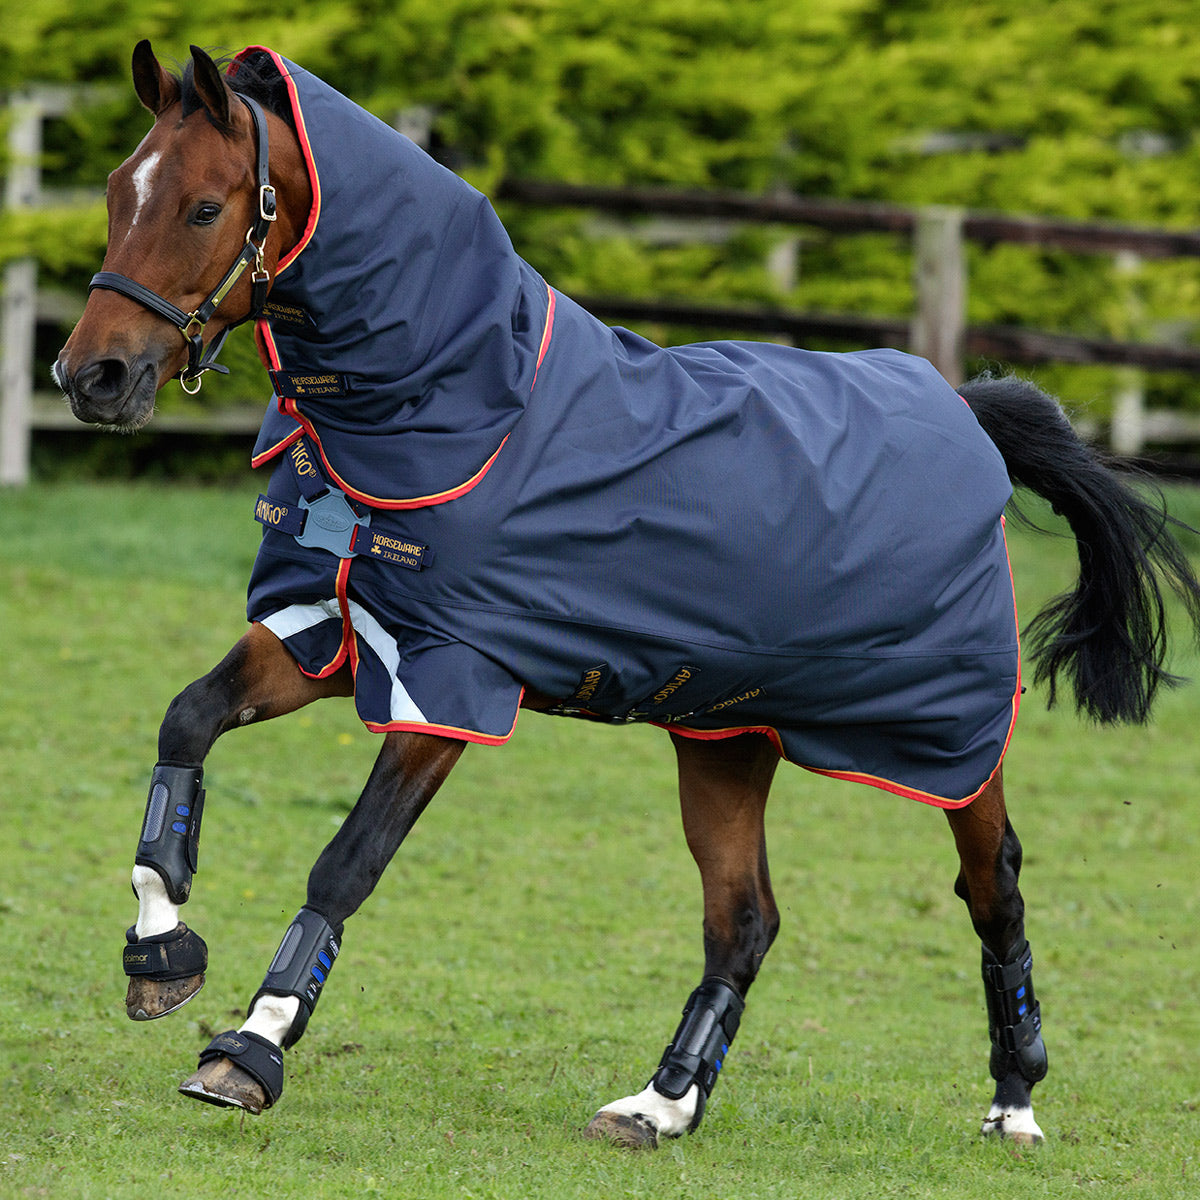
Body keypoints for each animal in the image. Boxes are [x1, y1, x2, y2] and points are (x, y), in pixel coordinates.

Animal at [54, 41, 1200, 1149]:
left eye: (205, 208)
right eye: (116, 191)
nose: (92, 377)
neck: (462, 404)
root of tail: (963, 408)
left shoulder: (449, 685)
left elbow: (347, 863)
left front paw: (249, 1049)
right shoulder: (331, 634)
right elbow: (188, 719)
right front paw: (162, 953)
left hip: (950, 742)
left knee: (993, 888)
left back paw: (1015, 1100)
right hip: (729, 735)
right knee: (745, 919)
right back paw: (661, 1104)